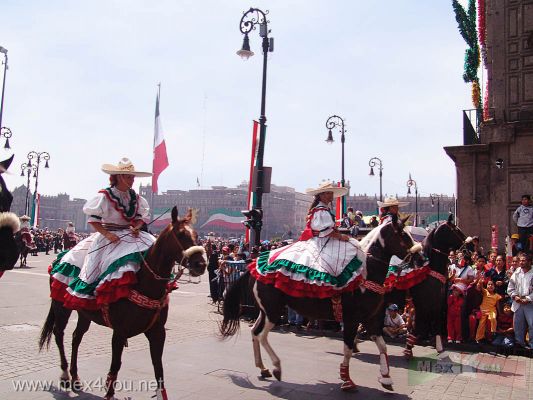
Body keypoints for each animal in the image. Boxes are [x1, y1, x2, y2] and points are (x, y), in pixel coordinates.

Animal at [38, 208, 206, 400]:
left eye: (197, 235)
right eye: (181, 234)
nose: (201, 264)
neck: (145, 283)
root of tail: (61, 257)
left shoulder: (158, 332)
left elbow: (158, 368)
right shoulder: (119, 333)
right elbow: (116, 365)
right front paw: (109, 393)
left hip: (84, 313)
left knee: (76, 338)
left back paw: (75, 377)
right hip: (61, 306)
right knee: (59, 334)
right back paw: (65, 375)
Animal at [218, 217, 422, 392]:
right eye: (403, 235)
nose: (420, 258)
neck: (364, 273)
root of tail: (255, 266)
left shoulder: (371, 319)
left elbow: (382, 346)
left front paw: (386, 378)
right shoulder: (351, 319)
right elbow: (348, 349)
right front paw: (347, 380)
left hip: (266, 311)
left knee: (255, 332)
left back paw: (263, 368)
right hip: (273, 312)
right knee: (261, 335)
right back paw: (276, 367)